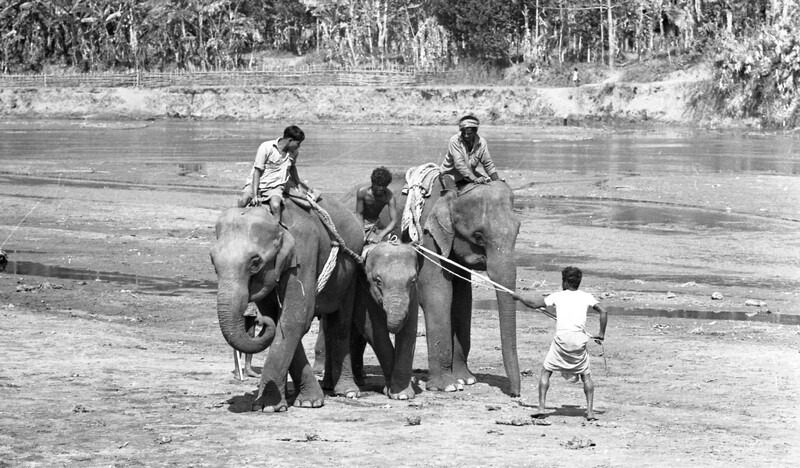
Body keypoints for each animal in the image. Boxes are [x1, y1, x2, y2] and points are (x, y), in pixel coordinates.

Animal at [210, 198, 364, 412]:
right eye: (212, 261)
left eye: (255, 262)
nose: (259, 320)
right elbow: (278, 319)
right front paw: (308, 400)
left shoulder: (304, 253)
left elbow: (296, 317)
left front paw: (268, 406)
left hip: (351, 269)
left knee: (340, 323)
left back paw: (347, 392)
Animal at [351, 241, 420, 400]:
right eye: (378, 281)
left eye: (412, 281)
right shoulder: (363, 290)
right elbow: (373, 329)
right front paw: (395, 392)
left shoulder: (413, 295)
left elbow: (409, 330)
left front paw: (403, 395)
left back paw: (359, 380)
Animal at [383, 177, 522, 396]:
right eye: (478, 236)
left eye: (518, 230)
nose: (515, 394)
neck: (454, 192)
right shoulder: (427, 238)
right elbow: (438, 294)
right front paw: (448, 386)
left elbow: (462, 299)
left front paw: (466, 380)